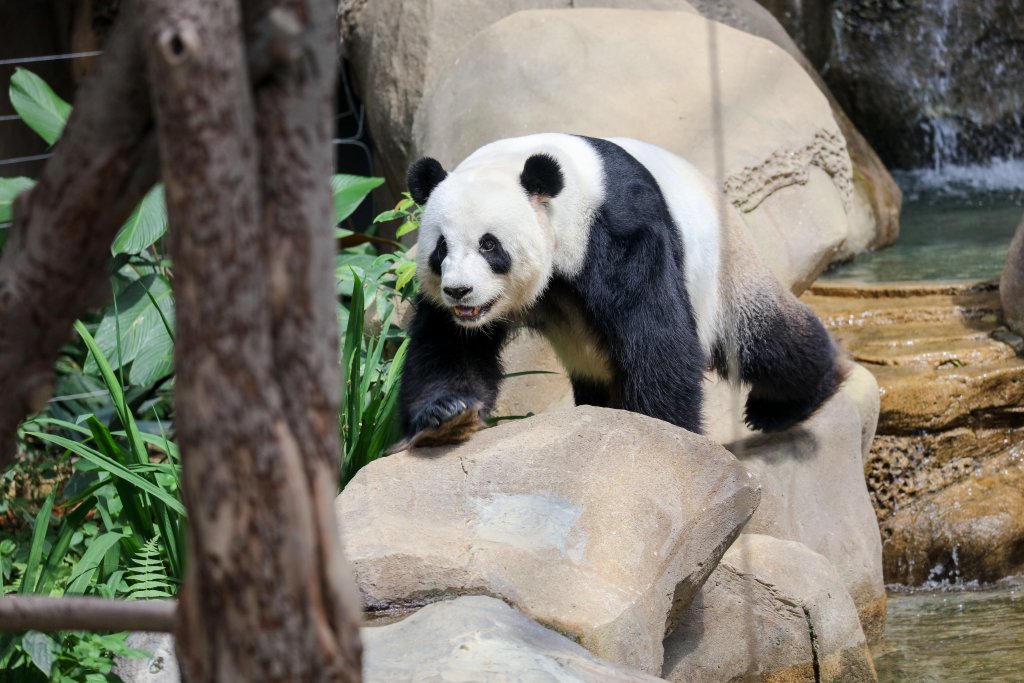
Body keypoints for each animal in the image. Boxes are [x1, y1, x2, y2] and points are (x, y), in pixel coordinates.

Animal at [397, 133, 848, 447]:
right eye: (441, 248)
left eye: (489, 245)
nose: (459, 291)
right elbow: (450, 345)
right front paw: (447, 414)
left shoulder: (618, 228)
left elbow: (656, 337)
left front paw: (662, 430)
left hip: (724, 269)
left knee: (763, 340)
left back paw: (792, 399)